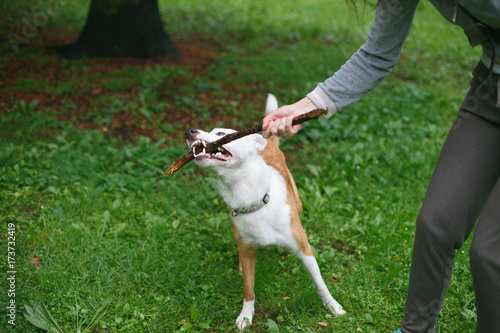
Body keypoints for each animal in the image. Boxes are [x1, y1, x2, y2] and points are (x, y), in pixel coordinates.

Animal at [186, 93, 346, 330]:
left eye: (222, 134)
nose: (189, 132)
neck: (252, 199)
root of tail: (267, 142)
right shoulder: (246, 250)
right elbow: (248, 289)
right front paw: (245, 316)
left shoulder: (304, 249)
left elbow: (320, 283)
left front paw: (332, 306)